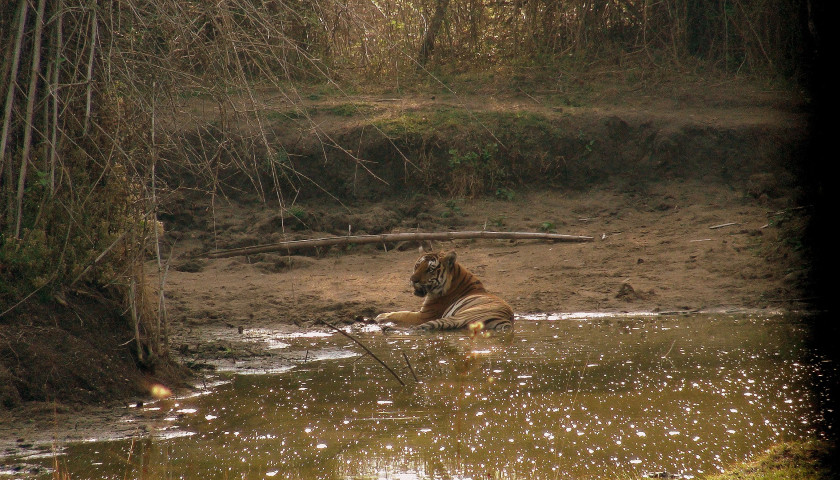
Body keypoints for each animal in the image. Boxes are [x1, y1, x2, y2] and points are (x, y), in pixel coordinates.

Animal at [378, 249, 516, 332]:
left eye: (430, 270)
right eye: (417, 266)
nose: (413, 279)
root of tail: (504, 320)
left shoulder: (425, 315)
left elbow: (402, 313)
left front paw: (381, 316)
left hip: (457, 316)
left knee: (419, 328)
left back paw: (388, 329)